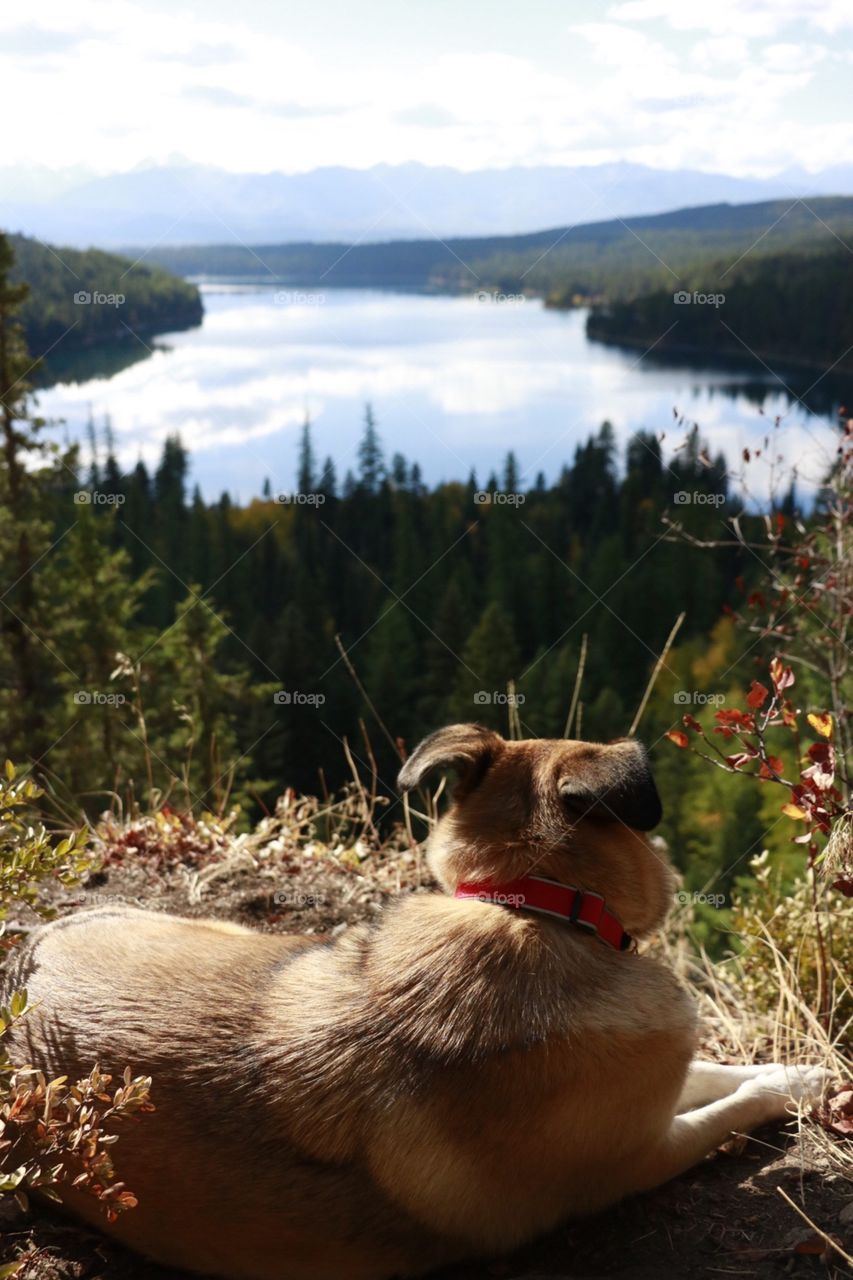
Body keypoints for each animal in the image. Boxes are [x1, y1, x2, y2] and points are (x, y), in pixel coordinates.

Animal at [1, 732, 829, 1280]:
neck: (537, 908)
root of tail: (32, 954)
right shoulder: (644, 1153)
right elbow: (726, 1105)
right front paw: (792, 1085)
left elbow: (715, 1070)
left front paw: (788, 1070)